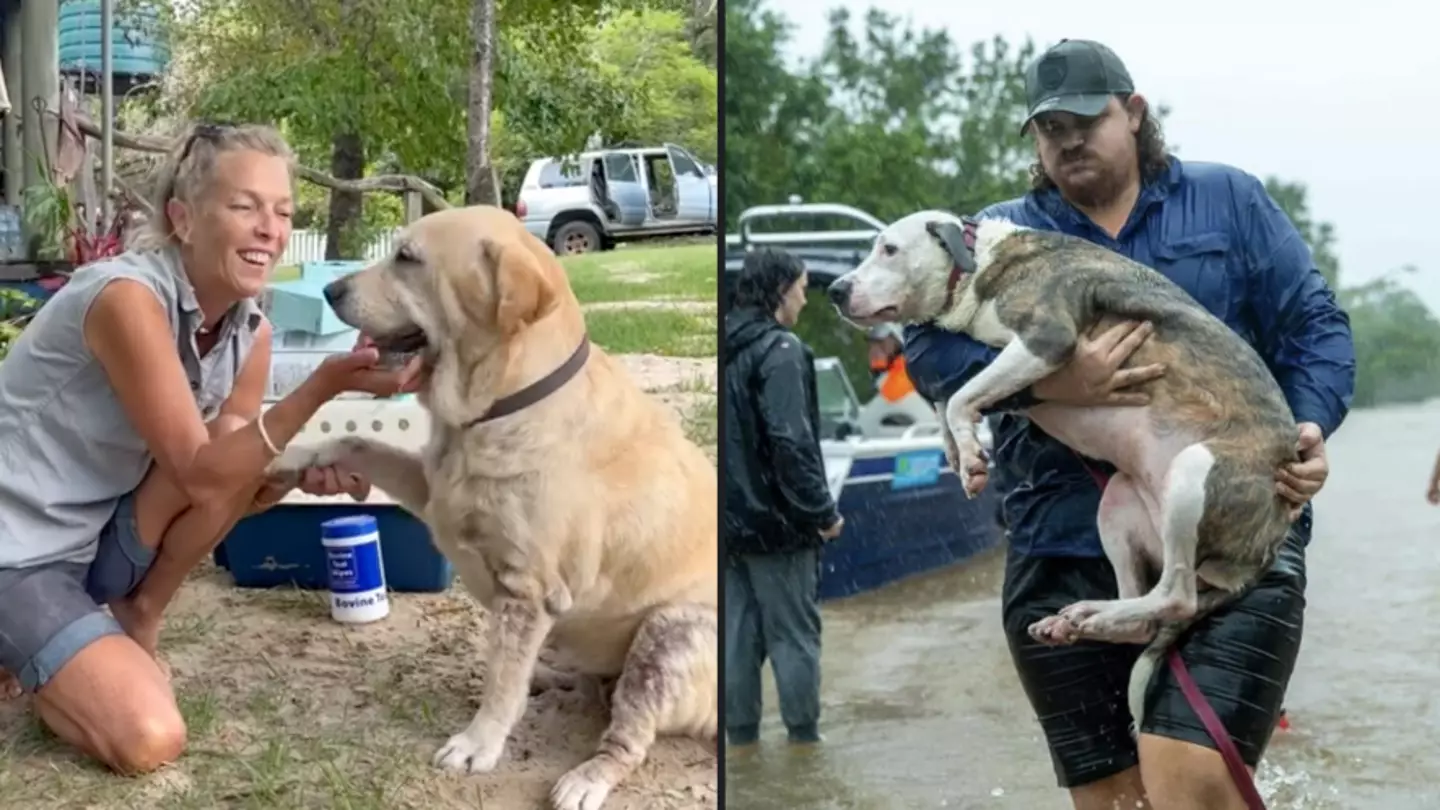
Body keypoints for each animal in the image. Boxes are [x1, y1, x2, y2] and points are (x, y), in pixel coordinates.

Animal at [267, 206, 717, 807]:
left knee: (625, 738)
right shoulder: (431, 487)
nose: (330, 289)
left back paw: (584, 778)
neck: (501, 405)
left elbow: (501, 683)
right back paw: (553, 679)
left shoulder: (529, 588)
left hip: (669, 635)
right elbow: (356, 442)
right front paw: (291, 455)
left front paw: (478, 745)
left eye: (407, 257)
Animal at [829, 208, 1301, 726]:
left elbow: (958, 395)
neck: (978, 262)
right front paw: (959, 452)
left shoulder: (1044, 339)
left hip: (1196, 470)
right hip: (1117, 501)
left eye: (889, 249)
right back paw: (1082, 619)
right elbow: (946, 397)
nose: (834, 290)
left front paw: (970, 453)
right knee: (1141, 612)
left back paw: (1095, 615)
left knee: (1175, 596)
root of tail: (1269, 542)